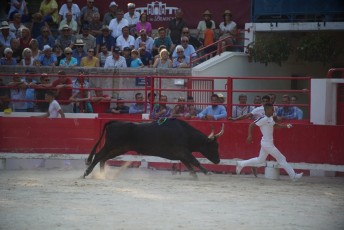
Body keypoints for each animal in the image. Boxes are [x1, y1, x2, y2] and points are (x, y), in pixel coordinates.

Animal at [82, 118, 223, 178]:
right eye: (214, 145)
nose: (218, 161)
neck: (185, 133)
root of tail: (114, 122)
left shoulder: (181, 155)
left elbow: (190, 166)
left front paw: (195, 176)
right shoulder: (183, 151)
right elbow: (195, 161)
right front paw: (207, 172)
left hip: (119, 148)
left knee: (103, 158)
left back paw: (102, 174)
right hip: (111, 145)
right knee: (98, 156)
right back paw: (86, 173)